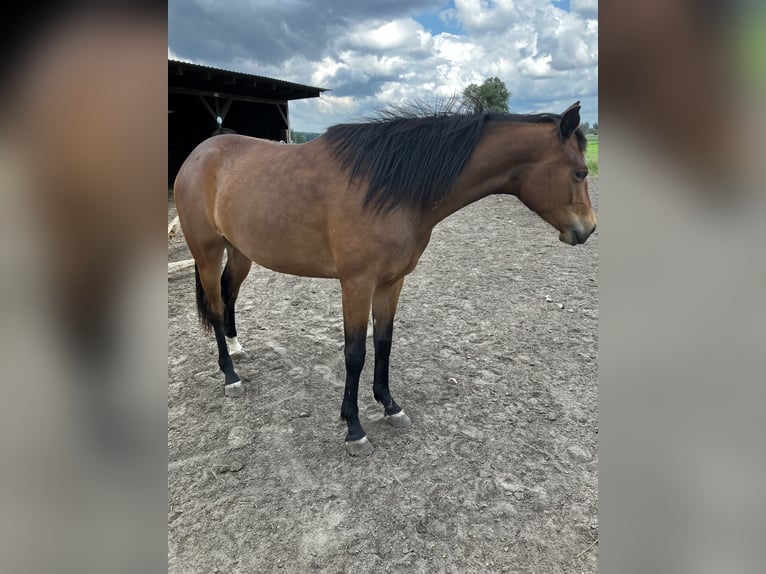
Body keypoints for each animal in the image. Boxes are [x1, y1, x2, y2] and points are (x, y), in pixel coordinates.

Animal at [176, 101, 600, 456]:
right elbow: (355, 353)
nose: (588, 230)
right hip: (208, 254)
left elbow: (384, 342)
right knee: (215, 306)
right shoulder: (356, 284)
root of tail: (198, 154)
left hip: (241, 252)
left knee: (229, 295)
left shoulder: (391, 282)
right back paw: (230, 375)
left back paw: (238, 347)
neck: (389, 186)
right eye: (580, 172)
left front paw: (390, 405)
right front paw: (354, 428)